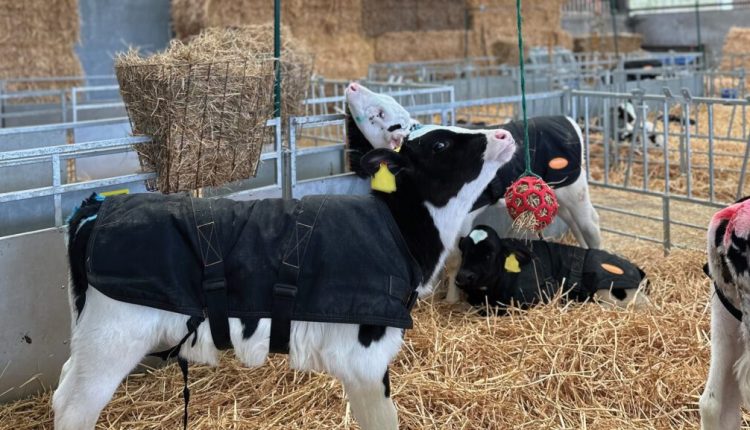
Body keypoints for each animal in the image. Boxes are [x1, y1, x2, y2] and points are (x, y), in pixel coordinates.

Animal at [53, 122, 520, 428]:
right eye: (440, 143)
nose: (504, 134)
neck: (398, 231)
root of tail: (97, 208)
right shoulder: (365, 359)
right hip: (111, 339)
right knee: (76, 407)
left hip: (90, 338)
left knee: (62, 390)